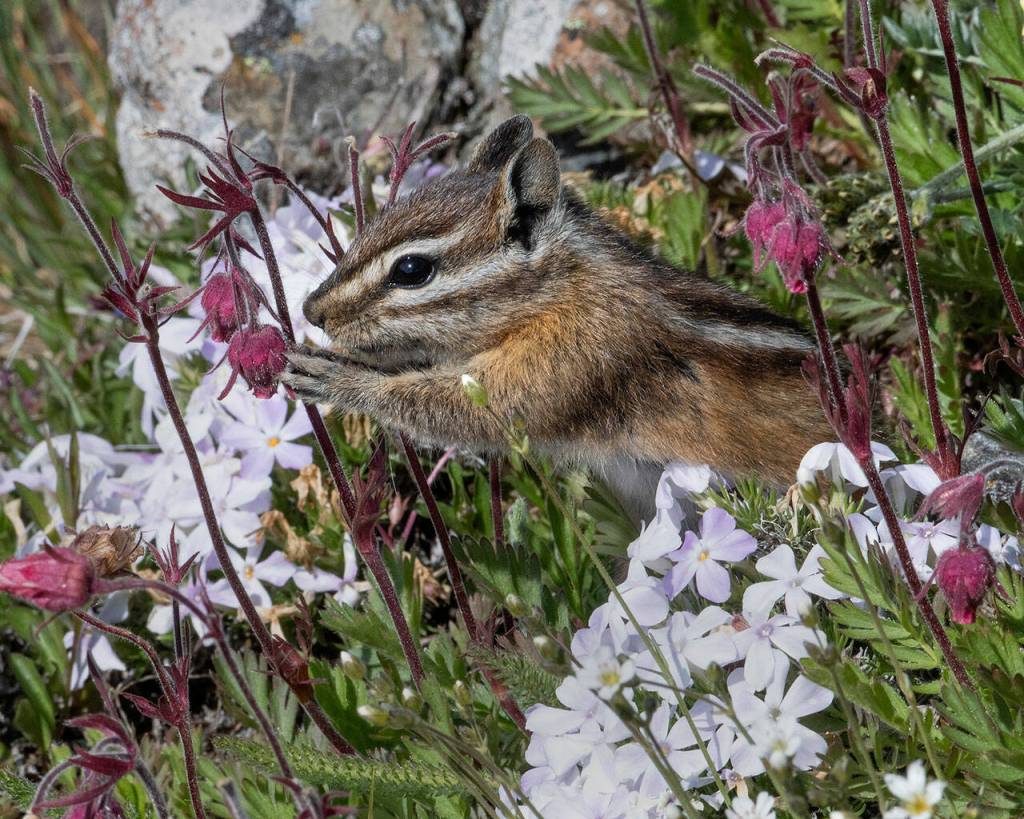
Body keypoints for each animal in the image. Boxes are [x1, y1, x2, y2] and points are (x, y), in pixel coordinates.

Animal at [284, 116, 833, 523]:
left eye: (412, 269)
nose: (312, 310)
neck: (561, 289)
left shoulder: (566, 362)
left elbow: (461, 412)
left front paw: (337, 377)